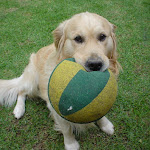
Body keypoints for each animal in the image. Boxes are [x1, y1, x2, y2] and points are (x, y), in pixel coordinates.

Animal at [0, 12, 119, 149]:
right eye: (78, 38)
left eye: (102, 36)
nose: (95, 64)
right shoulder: (55, 108)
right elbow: (66, 128)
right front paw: (71, 144)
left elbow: (101, 112)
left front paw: (105, 124)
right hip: (32, 80)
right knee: (21, 91)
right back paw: (19, 110)